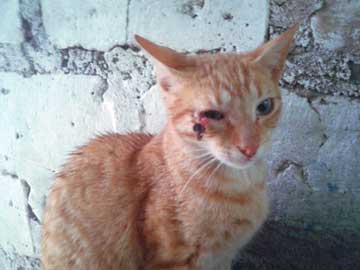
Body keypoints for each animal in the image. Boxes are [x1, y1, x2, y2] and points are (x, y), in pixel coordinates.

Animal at [40, 25, 296, 270]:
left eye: (264, 106)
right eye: (212, 115)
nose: (250, 148)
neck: (240, 185)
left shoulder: (223, 259)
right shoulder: (172, 260)